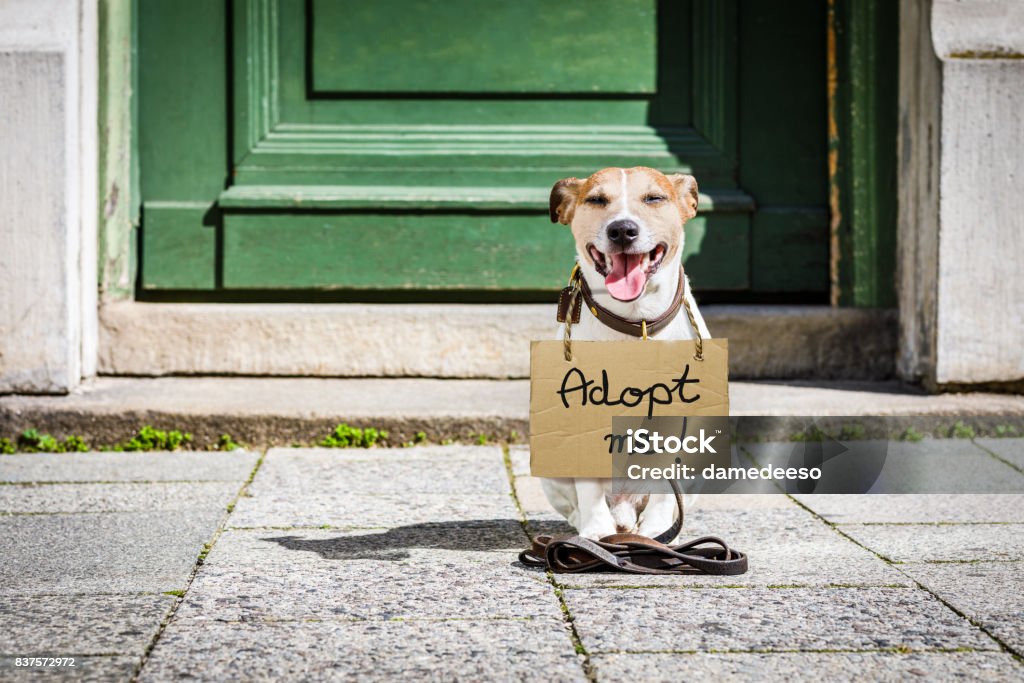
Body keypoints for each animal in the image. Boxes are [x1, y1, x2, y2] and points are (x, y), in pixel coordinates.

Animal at [536, 163, 712, 540]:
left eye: (654, 198)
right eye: (596, 200)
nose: (622, 230)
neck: (637, 321)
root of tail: (623, 502)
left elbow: (664, 478)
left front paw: (657, 529)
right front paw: (596, 530)